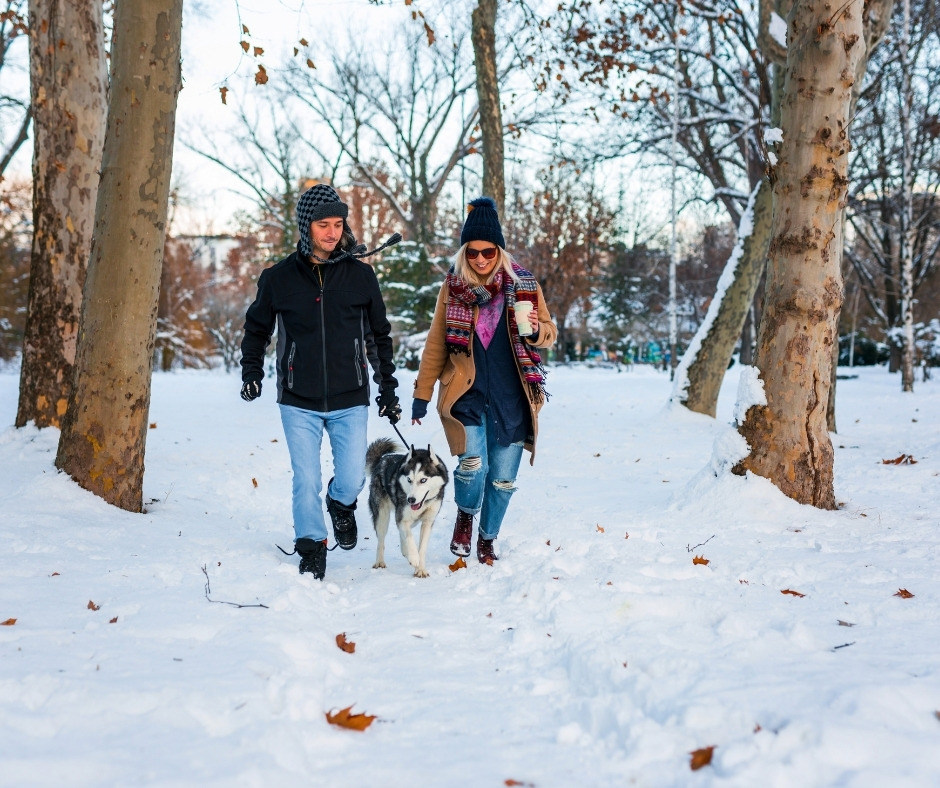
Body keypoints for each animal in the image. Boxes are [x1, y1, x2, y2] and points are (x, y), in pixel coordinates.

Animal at [366, 438, 450, 580]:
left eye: (423, 480)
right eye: (409, 480)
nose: (411, 499)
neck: (424, 503)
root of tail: (381, 460)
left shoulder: (428, 521)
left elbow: (422, 547)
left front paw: (420, 569)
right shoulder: (403, 517)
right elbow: (409, 536)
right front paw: (414, 557)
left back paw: (405, 552)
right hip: (382, 516)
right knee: (381, 540)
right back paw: (380, 561)